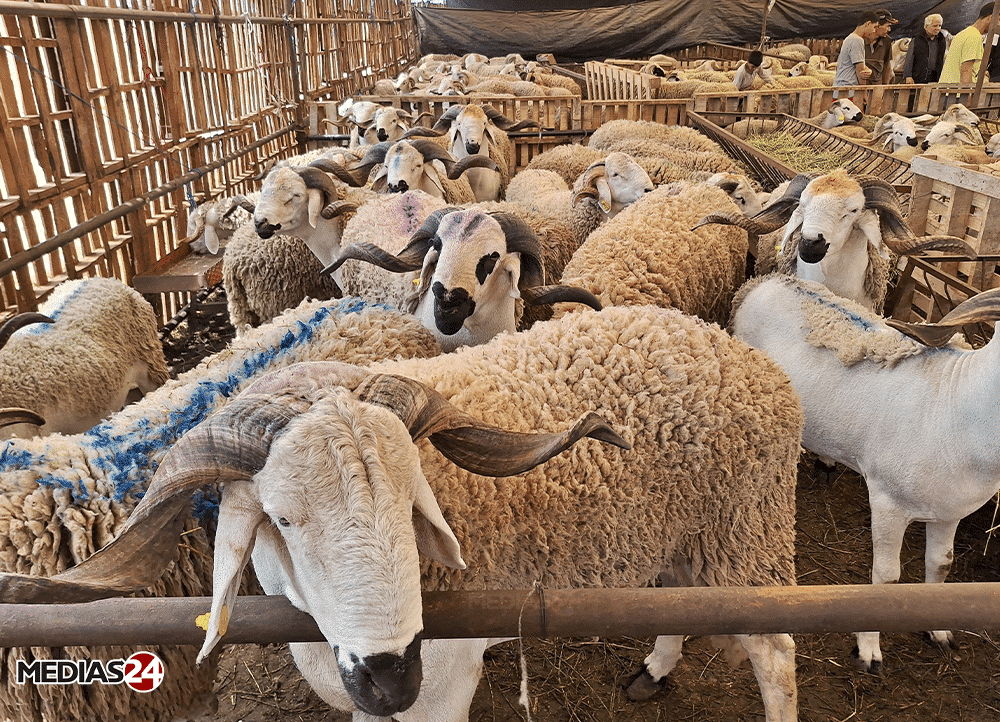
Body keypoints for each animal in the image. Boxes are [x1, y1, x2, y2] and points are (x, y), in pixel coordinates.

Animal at [730, 273, 1000, 674]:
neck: (956, 404)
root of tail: (766, 280)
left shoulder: (949, 510)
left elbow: (942, 565)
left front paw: (938, 631)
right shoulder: (888, 501)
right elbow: (886, 579)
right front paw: (869, 651)